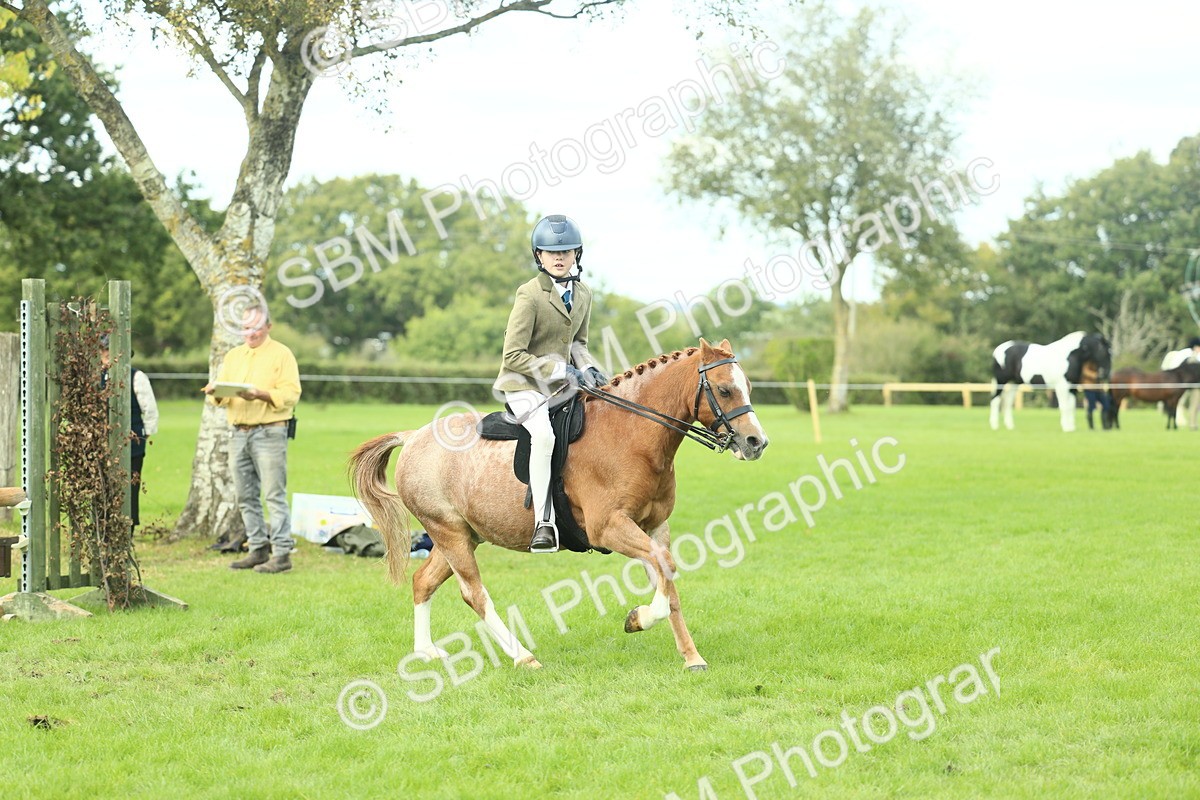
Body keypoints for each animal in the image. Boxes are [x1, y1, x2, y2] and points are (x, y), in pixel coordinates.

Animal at [348, 338, 769, 672]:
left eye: (748, 386)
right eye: (725, 390)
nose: (756, 443)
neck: (632, 435)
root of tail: (413, 436)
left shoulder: (655, 527)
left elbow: (668, 579)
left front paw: (691, 657)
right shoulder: (609, 527)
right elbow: (664, 577)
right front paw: (638, 618)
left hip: (462, 536)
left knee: (424, 581)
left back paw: (426, 652)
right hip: (447, 532)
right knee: (474, 594)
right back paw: (523, 656)